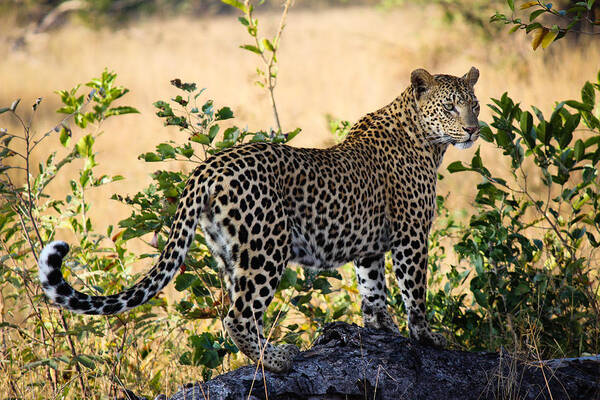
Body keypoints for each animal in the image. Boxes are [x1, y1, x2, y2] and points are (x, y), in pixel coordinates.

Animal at [37, 66, 480, 376]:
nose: (473, 129)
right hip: (268, 246)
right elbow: (415, 292)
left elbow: (373, 292)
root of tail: (207, 167)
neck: (427, 140)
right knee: (238, 315)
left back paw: (267, 356)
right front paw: (427, 337)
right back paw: (278, 360)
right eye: (450, 106)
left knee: (239, 309)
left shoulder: (370, 248)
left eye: (474, 104)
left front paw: (381, 331)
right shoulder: (411, 235)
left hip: (232, 252)